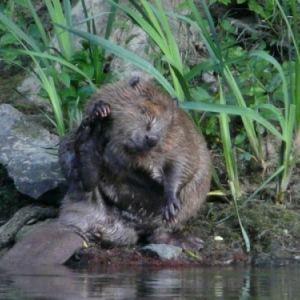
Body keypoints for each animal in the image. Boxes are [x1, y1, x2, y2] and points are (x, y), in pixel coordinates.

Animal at [58, 77, 211, 251]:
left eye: (169, 121)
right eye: (142, 110)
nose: (152, 138)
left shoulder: (181, 137)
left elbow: (185, 162)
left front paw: (171, 204)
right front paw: (101, 110)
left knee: (157, 233)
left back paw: (193, 242)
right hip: (68, 143)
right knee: (85, 184)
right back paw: (88, 137)